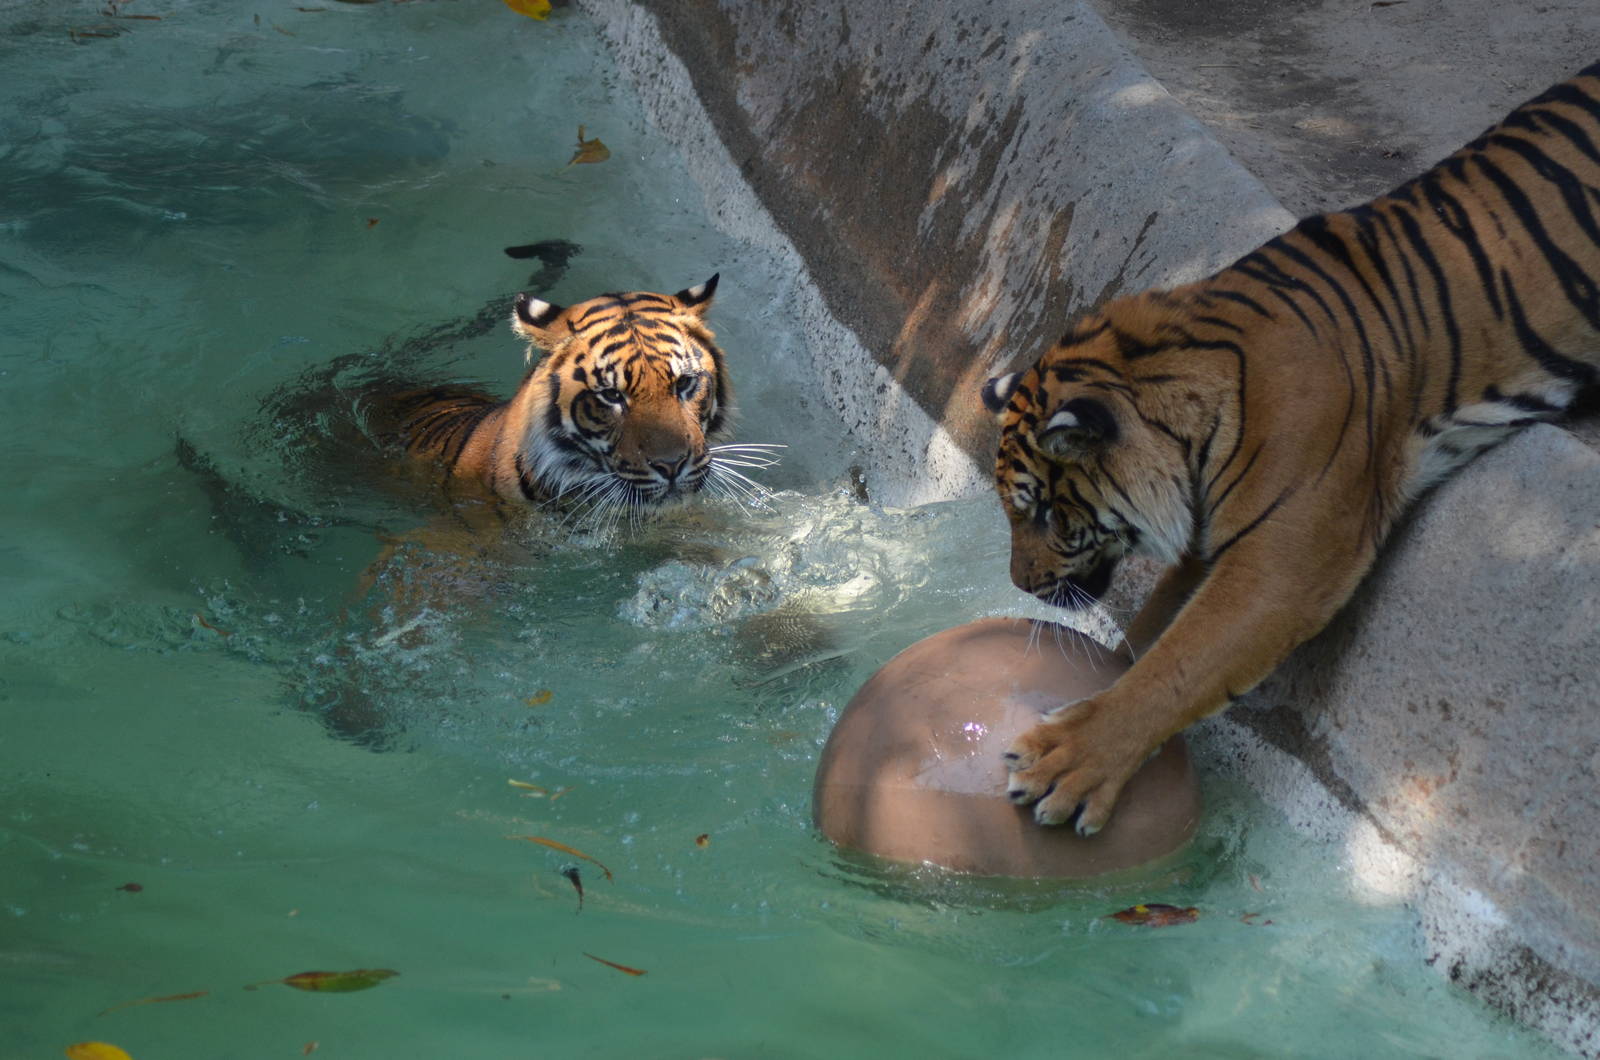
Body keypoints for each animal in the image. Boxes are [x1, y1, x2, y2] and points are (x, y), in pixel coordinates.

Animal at [982, 61, 1600, 836]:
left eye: (1043, 513)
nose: (1018, 584)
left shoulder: (1285, 560)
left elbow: (1179, 664)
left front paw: (1066, 759)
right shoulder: (1210, 538)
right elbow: (1151, 636)